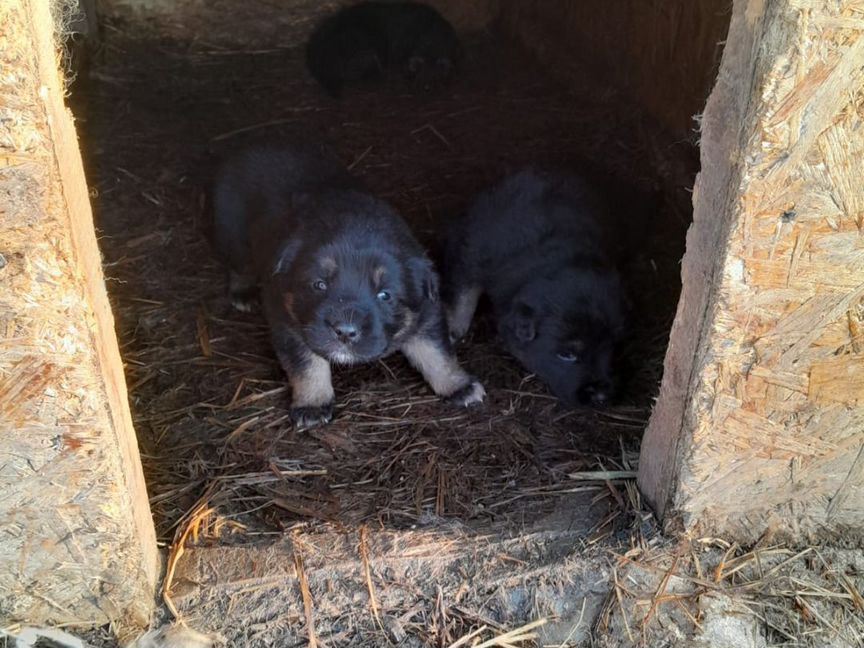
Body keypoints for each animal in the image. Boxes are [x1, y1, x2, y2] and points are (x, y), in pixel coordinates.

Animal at [207, 140, 482, 430]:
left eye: (385, 295)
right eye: (319, 285)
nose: (345, 332)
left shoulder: (427, 312)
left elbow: (437, 353)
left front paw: (459, 386)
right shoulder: (287, 321)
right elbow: (306, 364)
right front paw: (312, 404)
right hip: (231, 231)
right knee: (239, 264)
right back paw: (243, 292)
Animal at [446, 170, 620, 408]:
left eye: (612, 347)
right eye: (566, 355)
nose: (601, 397)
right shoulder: (472, 256)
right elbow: (464, 296)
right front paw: (454, 330)